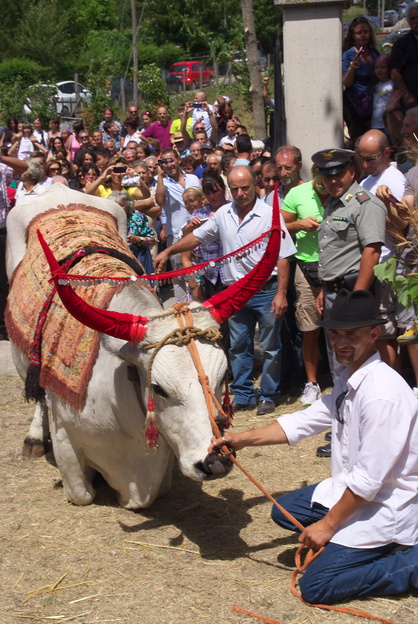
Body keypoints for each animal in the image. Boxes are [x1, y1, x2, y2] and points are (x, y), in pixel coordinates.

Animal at [5, 183, 280, 510]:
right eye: (158, 388)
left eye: (223, 377)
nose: (215, 462)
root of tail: (58, 188)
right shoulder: (65, 442)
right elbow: (82, 494)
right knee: (37, 394)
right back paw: (34, 438)